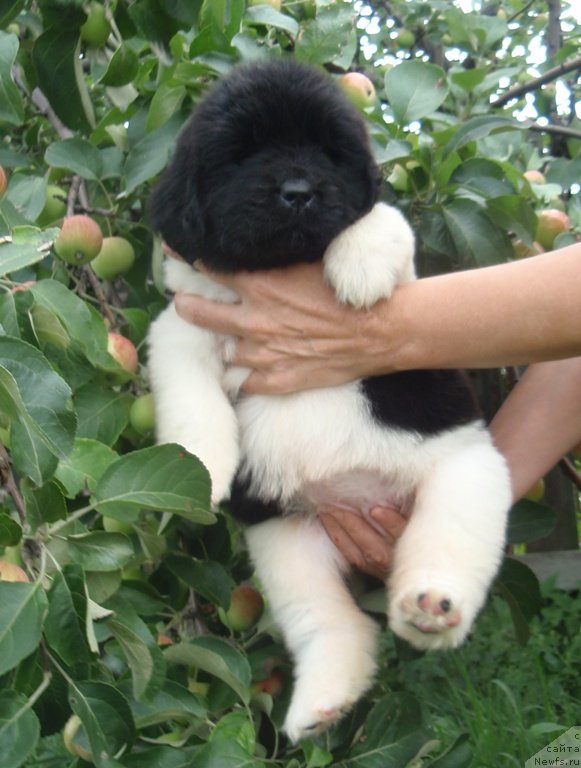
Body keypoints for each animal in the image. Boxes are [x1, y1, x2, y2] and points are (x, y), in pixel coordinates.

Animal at [147, 57, 510, 740]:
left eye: (328, 154)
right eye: (244, 153)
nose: (297, 192)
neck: (280, 269)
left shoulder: (409, 294)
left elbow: (382, 219)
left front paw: (359, 263)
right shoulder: (185, 323)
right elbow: (191, 397)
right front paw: (199, 468)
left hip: (465, 475)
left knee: (448, 548)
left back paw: (431, 606)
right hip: (287, 544)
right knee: (332, 623)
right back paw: (322, 700)